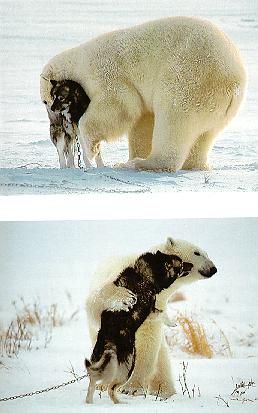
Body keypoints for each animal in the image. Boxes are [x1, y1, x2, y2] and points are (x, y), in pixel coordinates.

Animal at [39, 16, 246, 171]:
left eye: (46, 101)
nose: (53, 121)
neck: (79, 62)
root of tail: (233, 82)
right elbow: (142, 120)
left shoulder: (106, 74)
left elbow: (120, 105)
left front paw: (91, 147)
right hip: (216, 107)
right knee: (203, 135)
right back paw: (190, 164)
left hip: (190, 79)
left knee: (173, 120)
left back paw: (138, 164)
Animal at [85, 237, 217, 398]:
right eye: (197, 252)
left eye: (207, 253)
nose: (213, 268)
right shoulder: (120, 276)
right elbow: (97, 299)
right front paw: (125, 297)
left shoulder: (156, 305)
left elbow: (147, 342)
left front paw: (132, 388)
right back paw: (103, 383)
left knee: (162, 360)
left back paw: (164, 390)